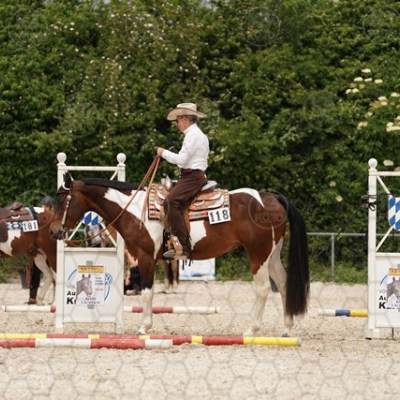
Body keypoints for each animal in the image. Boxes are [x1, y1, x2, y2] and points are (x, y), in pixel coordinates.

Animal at [50, 173, 309, 336]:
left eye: (62, 201)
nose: (53, 231)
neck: (136, 211)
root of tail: (271, 197)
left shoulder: (146, 257)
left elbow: (146, 294)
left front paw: (144, 327)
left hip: (258, 255)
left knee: (263, 289)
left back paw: (252, 329)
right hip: (272, 254)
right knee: (284, 284)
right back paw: (287, 328)